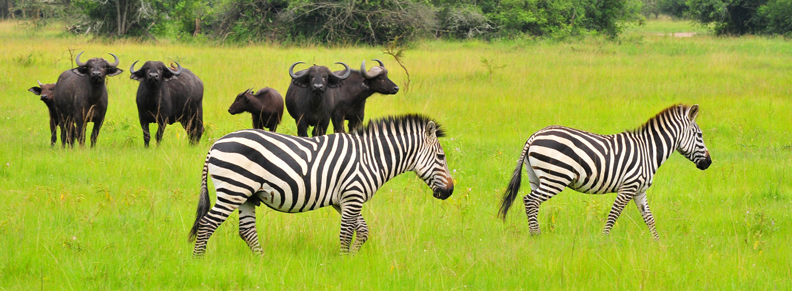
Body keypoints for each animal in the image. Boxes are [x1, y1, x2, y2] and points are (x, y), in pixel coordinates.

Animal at [188, 114, 454, 256]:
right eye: (441, 157)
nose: (450, 191)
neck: (370, 157)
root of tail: (215, 144)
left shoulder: (343, 200)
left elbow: (363, 231)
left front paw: (352, 259)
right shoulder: (352, 195)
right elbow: (347, 233)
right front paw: (344, 262)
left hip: (246, 196)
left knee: (246, 231)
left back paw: (261, 261)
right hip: (233, 190)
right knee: (207, 224)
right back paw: (198, 261)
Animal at [502, 105, 712, 240]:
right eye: (700, 135)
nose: (709, 163)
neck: (649, 150)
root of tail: (534, 136)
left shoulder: (639, 191)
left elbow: (649, 219)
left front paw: (658, 244)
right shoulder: (629, 187)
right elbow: (614, 214)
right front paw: (603, 241)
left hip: (536, 177)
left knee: (532, 202)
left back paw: (534, 234)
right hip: (556, 177)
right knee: (530, 200)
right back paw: (536, 236)